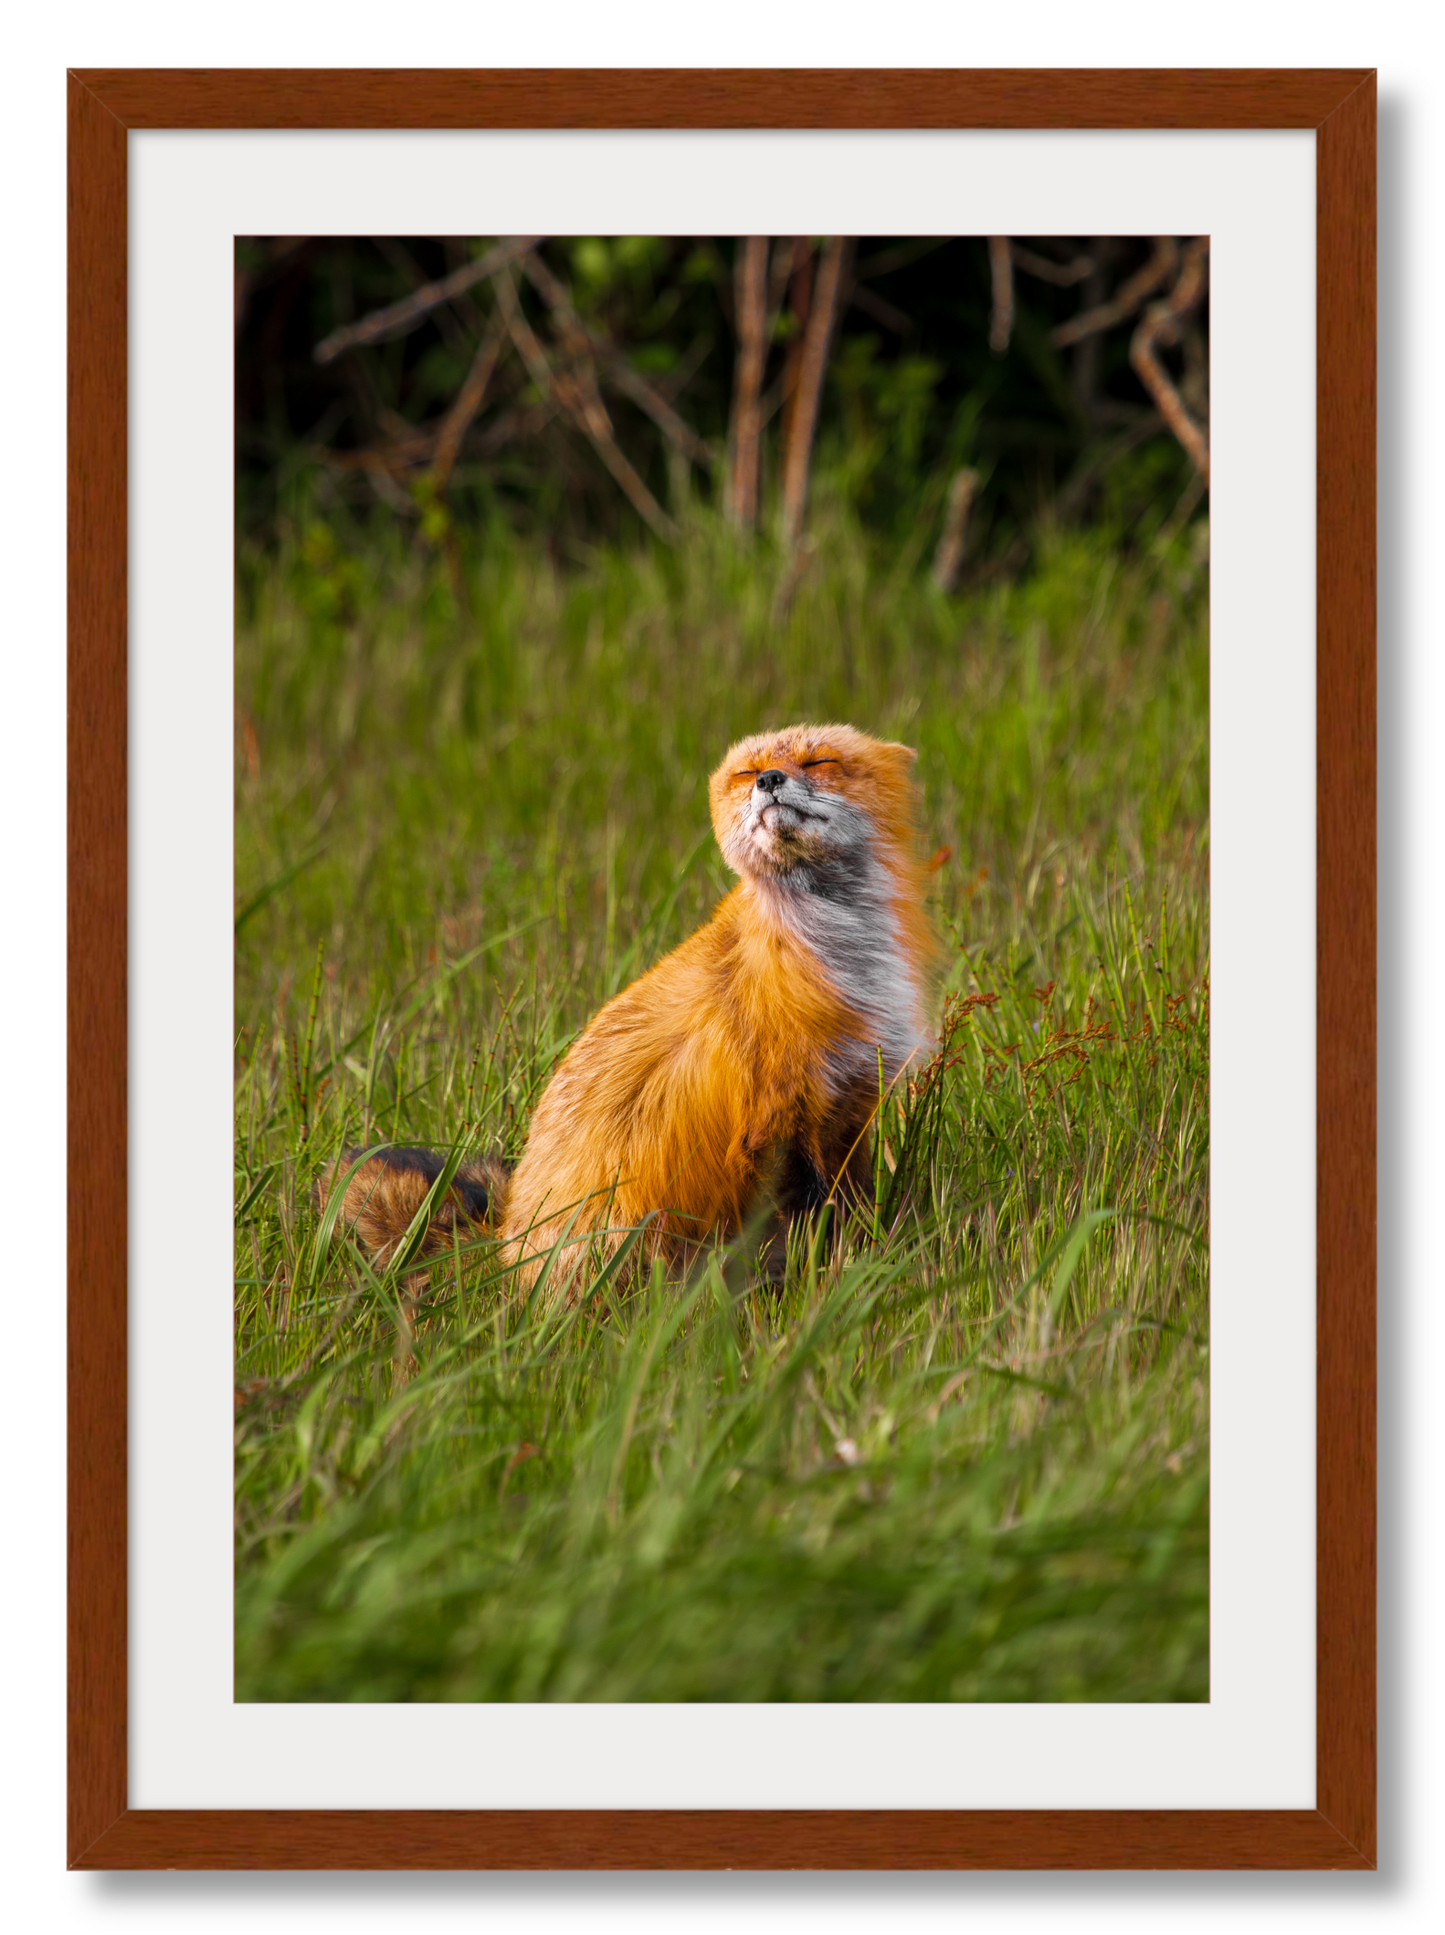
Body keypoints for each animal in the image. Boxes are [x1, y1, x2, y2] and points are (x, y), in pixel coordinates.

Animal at [327, 722, 936, 1291]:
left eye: (818, 761)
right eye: (746, 772)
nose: (768, 781)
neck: (836, 953)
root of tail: (504, 1243)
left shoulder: (849, 1104)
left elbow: (854, 1211)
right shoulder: (774, 1120)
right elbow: (811, 1226)